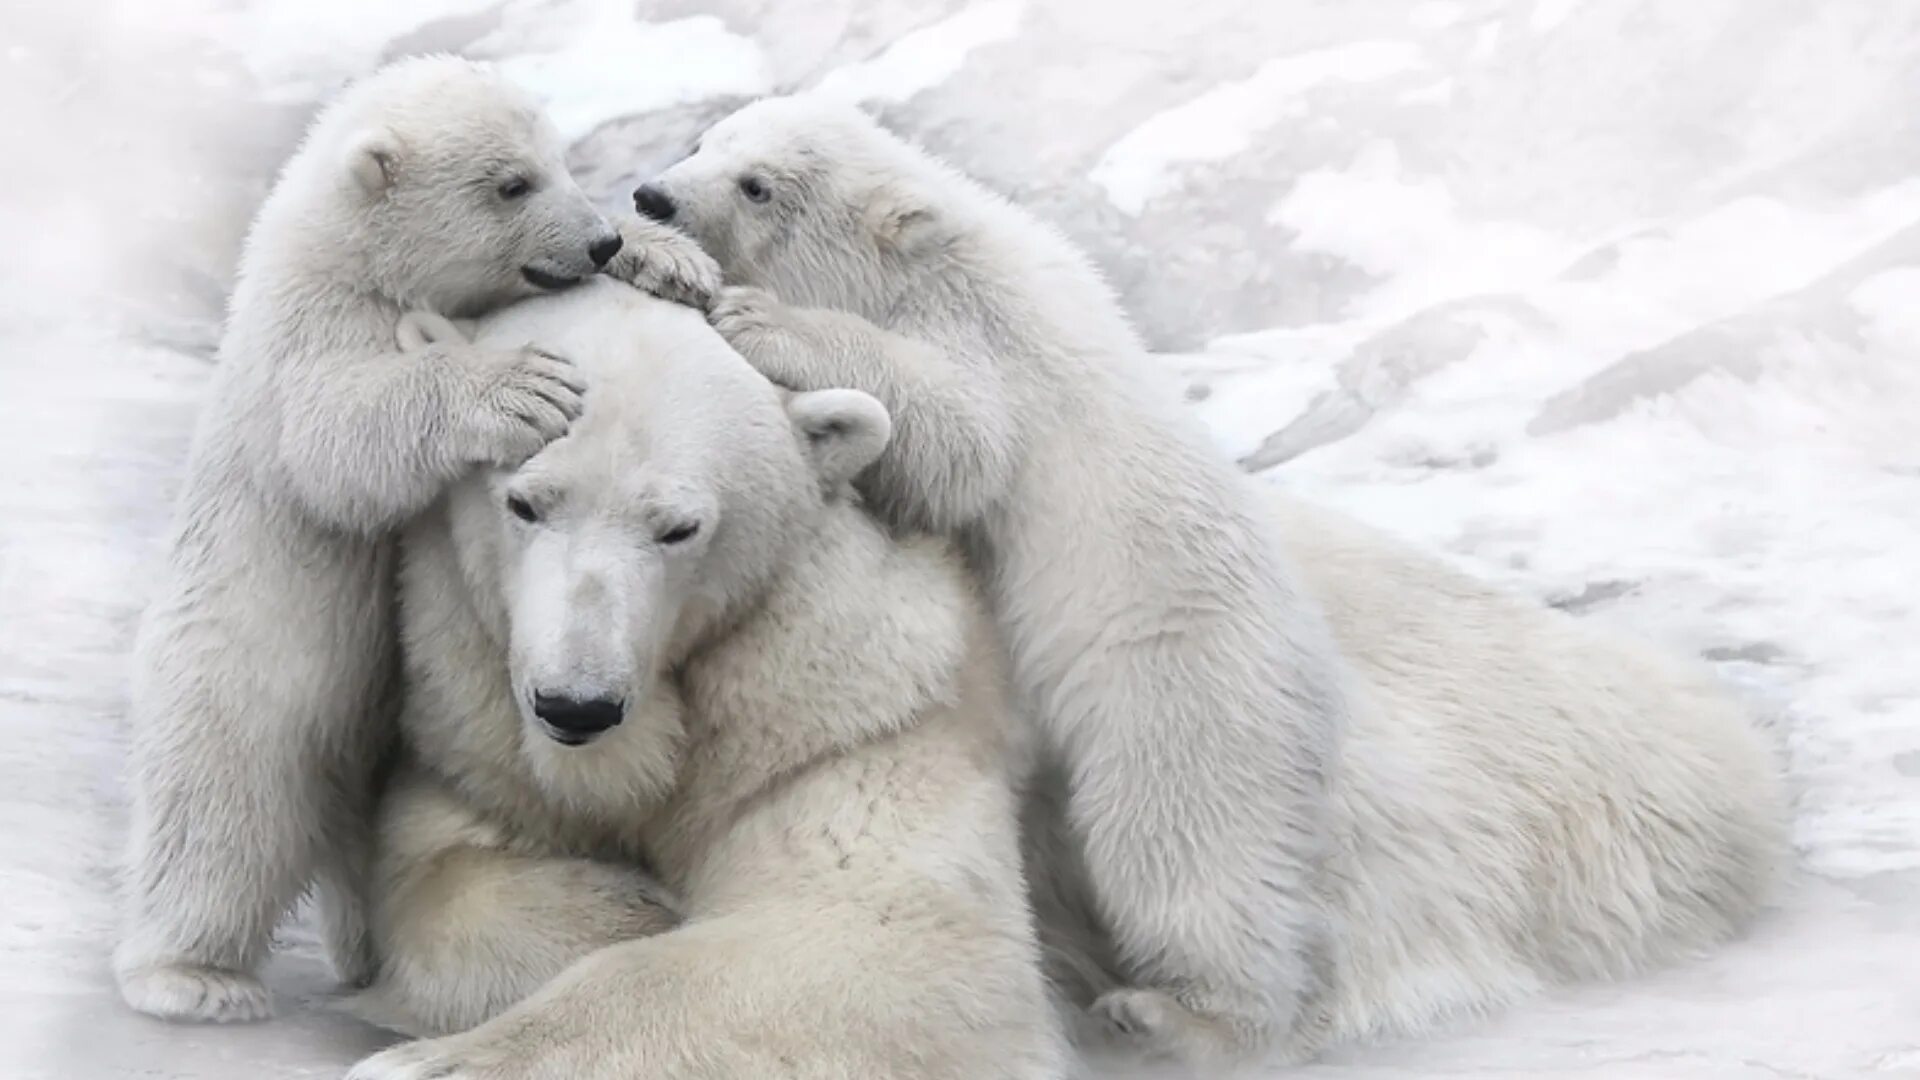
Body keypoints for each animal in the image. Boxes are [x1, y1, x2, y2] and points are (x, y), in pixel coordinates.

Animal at [120, 56, 721, 1014]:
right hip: (239, 678)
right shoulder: (312, 334)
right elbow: (339, 440)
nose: (596, 245)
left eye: (560, 159)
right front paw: (523, 388)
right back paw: (193, 979)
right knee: (220, 821)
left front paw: (671, 255)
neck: (347, 252)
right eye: (512, 183)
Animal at [347, 278, 1067, 1076]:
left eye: (678, 528)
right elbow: (436, 874)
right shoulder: (474, 741)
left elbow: (887, 934)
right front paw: (636, 906)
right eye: (524, 502)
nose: (576, 706)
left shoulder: (846, 721)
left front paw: (433, 1062)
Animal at [637, 98, 1789, 1068]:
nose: (652, 194)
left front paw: (756, 318)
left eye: (758, 184)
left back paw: (1180, 1015)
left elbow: (959, 439)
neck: (945, 250)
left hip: (1186, 702)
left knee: (1188, 856)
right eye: (705, 137)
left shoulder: (987, 343)